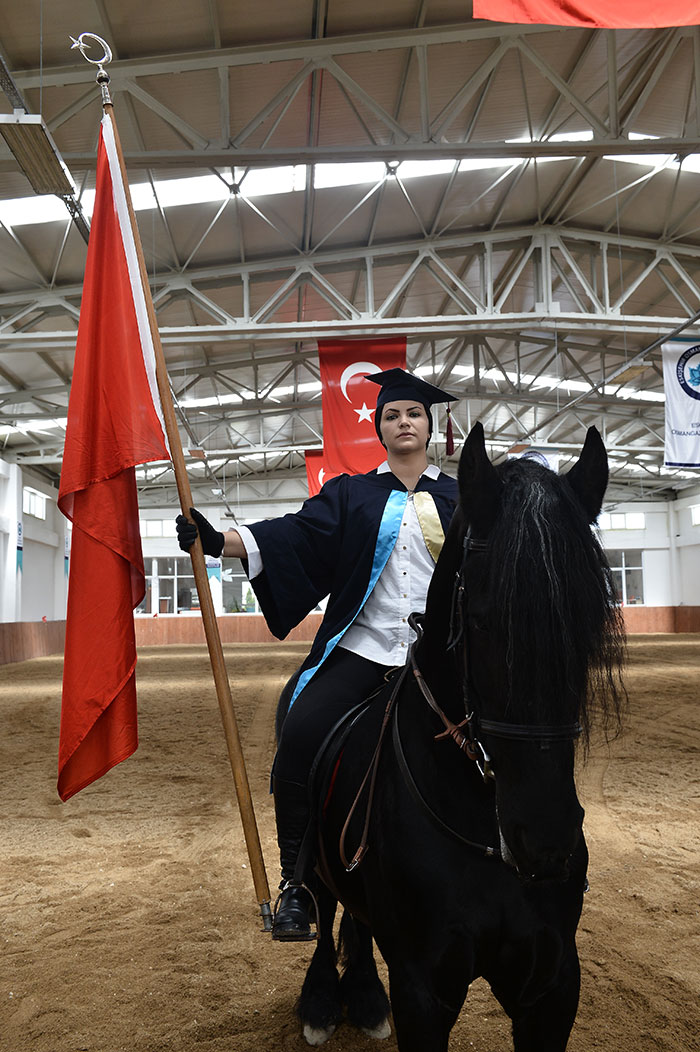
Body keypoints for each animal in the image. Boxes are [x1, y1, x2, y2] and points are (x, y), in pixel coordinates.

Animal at [282, 420, 623, 1052]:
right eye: (484, 620)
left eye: (589, 618)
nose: (546, 841)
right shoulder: (423, 987)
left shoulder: (552, 984)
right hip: (315, 858)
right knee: (324, 904)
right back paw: (321, 1000)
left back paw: (364, 997)